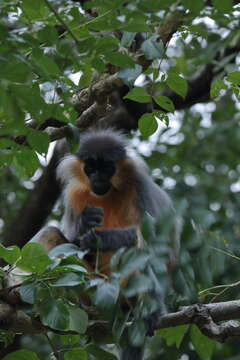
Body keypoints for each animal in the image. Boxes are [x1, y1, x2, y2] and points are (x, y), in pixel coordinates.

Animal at [56, 129, 180, 360]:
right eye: (91, 168)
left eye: (107, 168)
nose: (97, 178)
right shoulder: (74, 194)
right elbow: (71, 241)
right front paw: (85, 222)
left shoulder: (140, 185)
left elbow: (157, 241)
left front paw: (102, 238)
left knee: (141, 250)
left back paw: (150, 311)